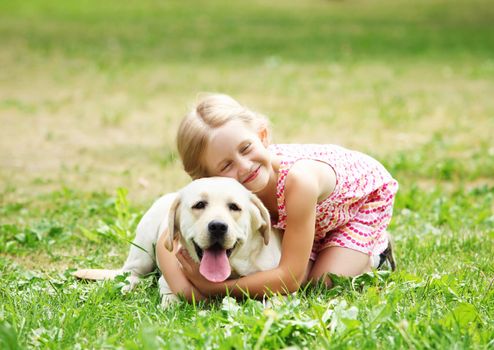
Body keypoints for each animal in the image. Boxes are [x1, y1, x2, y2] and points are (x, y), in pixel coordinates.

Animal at [73, 178, 282, 306]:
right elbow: (170, 296)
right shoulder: (168, 279)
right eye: (199, 205)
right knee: (130, 274)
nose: (218, 226)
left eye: (234, 207)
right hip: (143, 250)